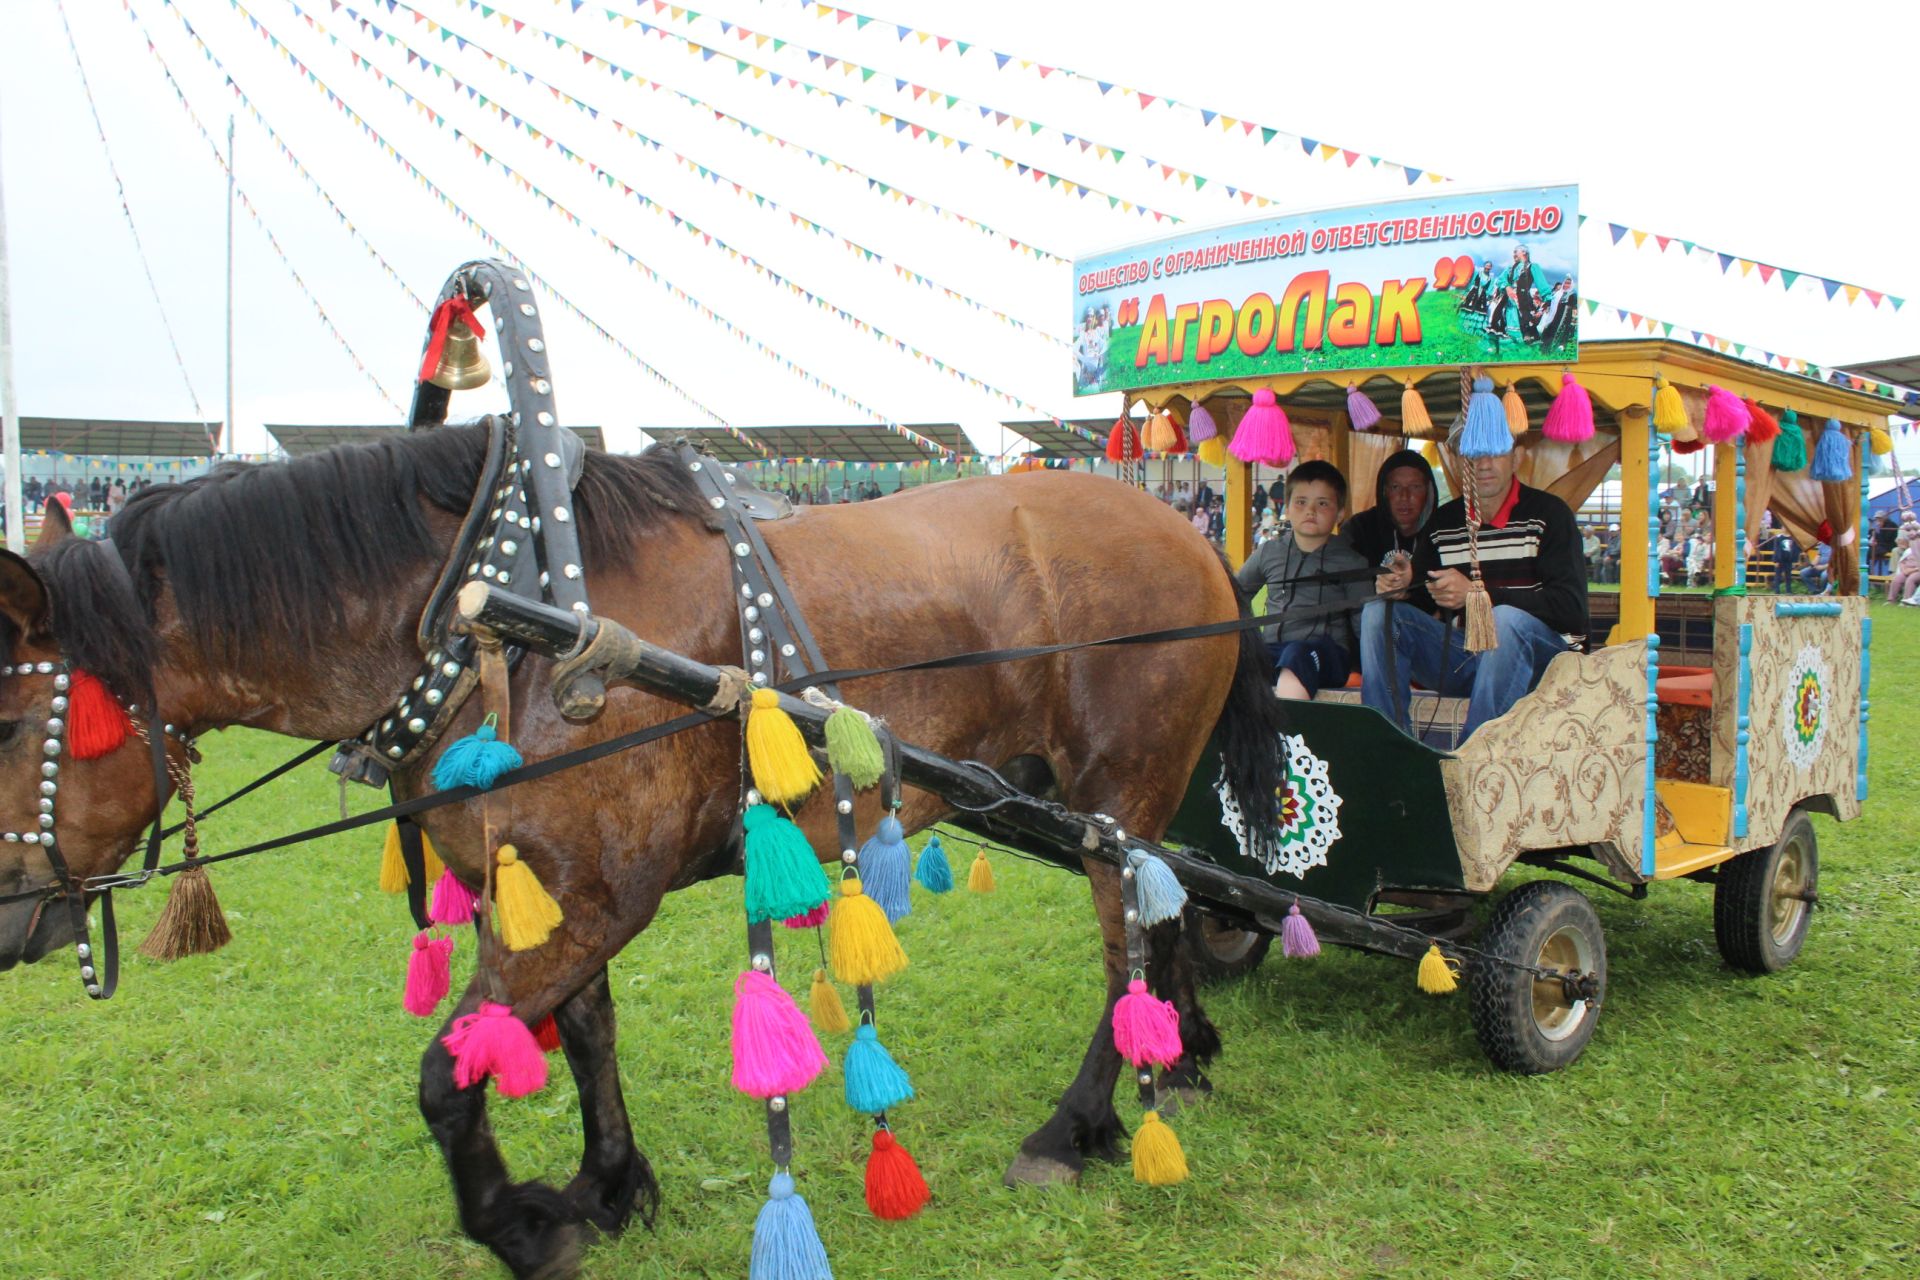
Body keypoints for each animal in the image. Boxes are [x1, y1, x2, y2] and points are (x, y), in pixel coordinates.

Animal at [3, 426, 1290, 1274]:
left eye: (15, 722)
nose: (15, 911)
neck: (496, 618)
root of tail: (1192, 538)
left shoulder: (592, 895)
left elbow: (447, 1074)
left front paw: (523, 1222)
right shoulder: (546, 892)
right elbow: (583, 1033)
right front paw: (611, 1183)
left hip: (1115, 787)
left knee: (1124, 941)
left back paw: (1076, 1124)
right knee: (1172, 907)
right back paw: (1179, 1052)